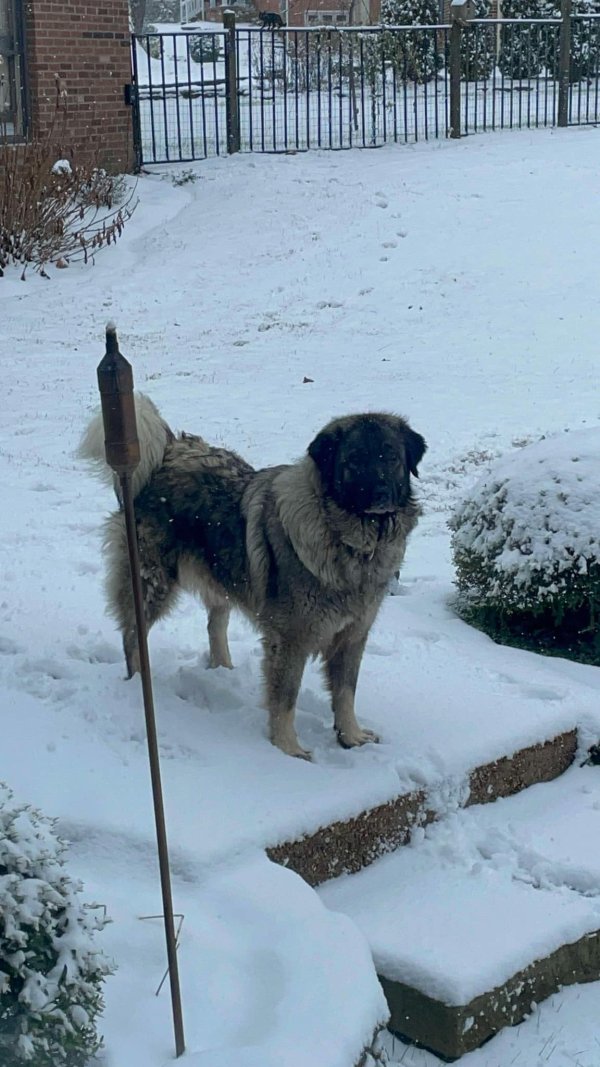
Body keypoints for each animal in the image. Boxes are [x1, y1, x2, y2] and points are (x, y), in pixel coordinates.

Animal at [79, 399, 422, 759]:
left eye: (391, 457)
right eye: (354, 460)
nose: (381, 493)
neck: (351, 541)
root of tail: (168, 450)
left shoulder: (354, 634)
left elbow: (346, 691)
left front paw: (351, 735)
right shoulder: (291, 639)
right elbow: (285, 699)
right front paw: (288, 749)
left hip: (220, 576)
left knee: (214, 625)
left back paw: (223, 670)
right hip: (152, 582)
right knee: (133, 634)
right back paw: (139, 683)